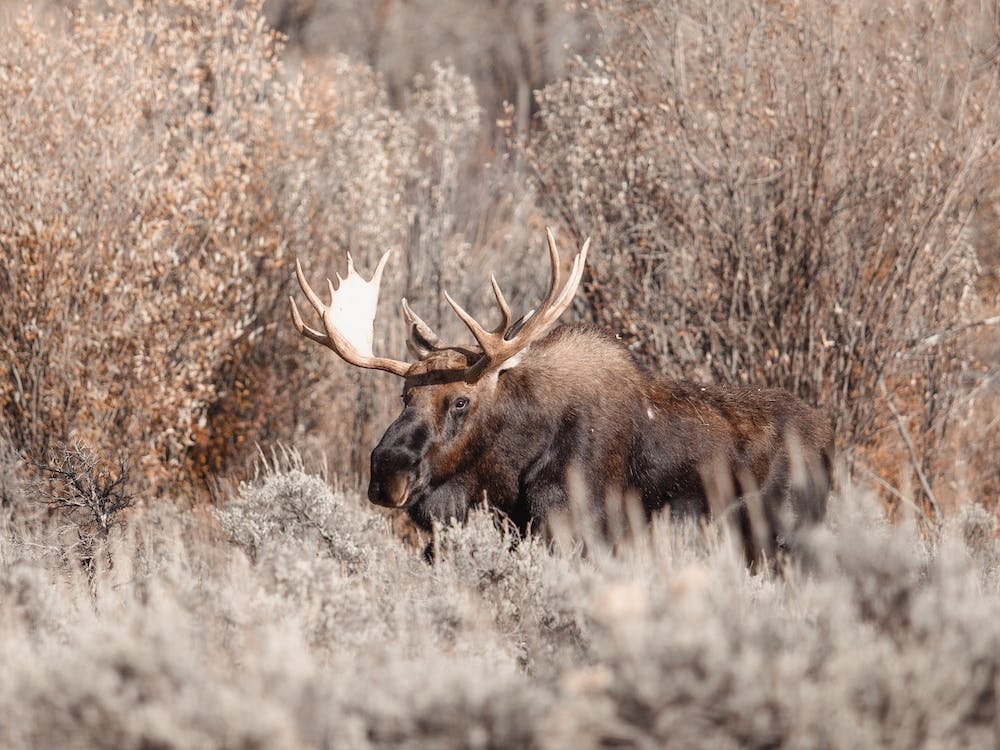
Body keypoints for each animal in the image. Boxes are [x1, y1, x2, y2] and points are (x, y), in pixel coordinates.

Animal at [290, 229, 833, 562]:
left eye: (461, 400)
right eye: (405, 394)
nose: (387, 470)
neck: (509, 471)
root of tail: (831, 447)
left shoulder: (575, 528)